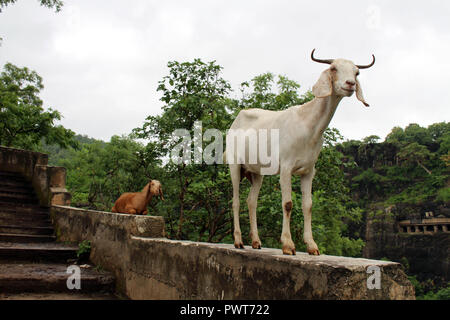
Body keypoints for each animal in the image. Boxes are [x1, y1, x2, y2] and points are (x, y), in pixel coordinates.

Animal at [227, 49, 374, 255]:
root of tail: (236, 121)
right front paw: (288, 245)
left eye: (356, 72)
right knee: (235, 201)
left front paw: (312, 246)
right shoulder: (286, 167)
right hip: (234, 164)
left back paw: (256, 242)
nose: (350, 84)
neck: (308, 123)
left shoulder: (309, 170)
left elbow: (308, 205)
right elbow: (288, 204)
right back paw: (238, 241)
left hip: (257, 172)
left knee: (251, 201)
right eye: (333, 68)